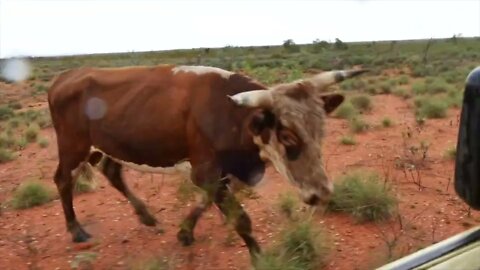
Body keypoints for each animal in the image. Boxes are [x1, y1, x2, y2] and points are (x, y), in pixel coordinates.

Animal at [46, 64, 368, 258]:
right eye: (287, 136)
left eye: (321, 129)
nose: (322, 193)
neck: (232, 118)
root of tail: (66, 75)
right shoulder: (206, 172)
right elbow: (241, 219)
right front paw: (259, 258)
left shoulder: (223, 173)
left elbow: (205, 201)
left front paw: (185, 232)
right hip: (73, 146)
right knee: (63, 179)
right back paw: (76, 230)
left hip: (113, 146)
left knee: (112, 171)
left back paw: (147, 216)